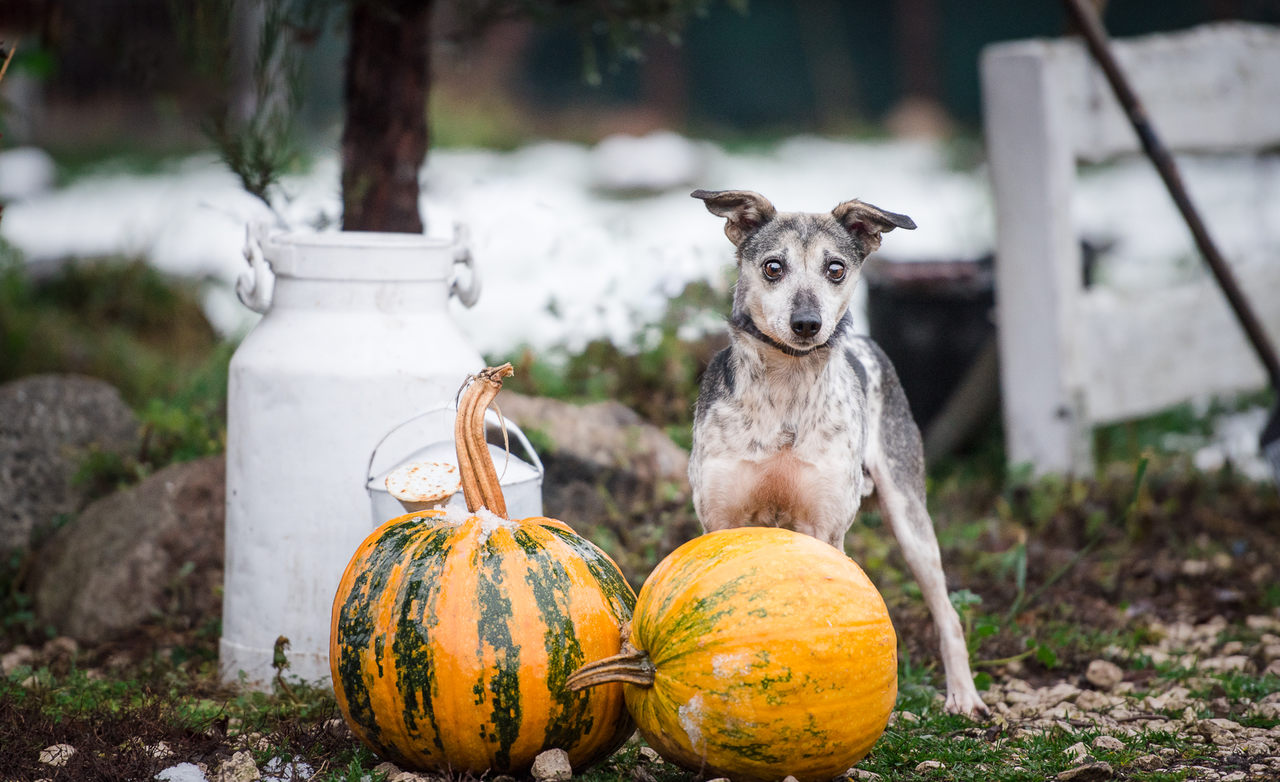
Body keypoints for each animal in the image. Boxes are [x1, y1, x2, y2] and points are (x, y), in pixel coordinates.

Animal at [687, 189, 989, 718]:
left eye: (835, 268)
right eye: (772, 267)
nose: (808, 323)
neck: (786, 389)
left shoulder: (823, 526)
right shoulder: (721, 518)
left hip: (910, 517)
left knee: (946, 611)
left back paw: (964, 695)